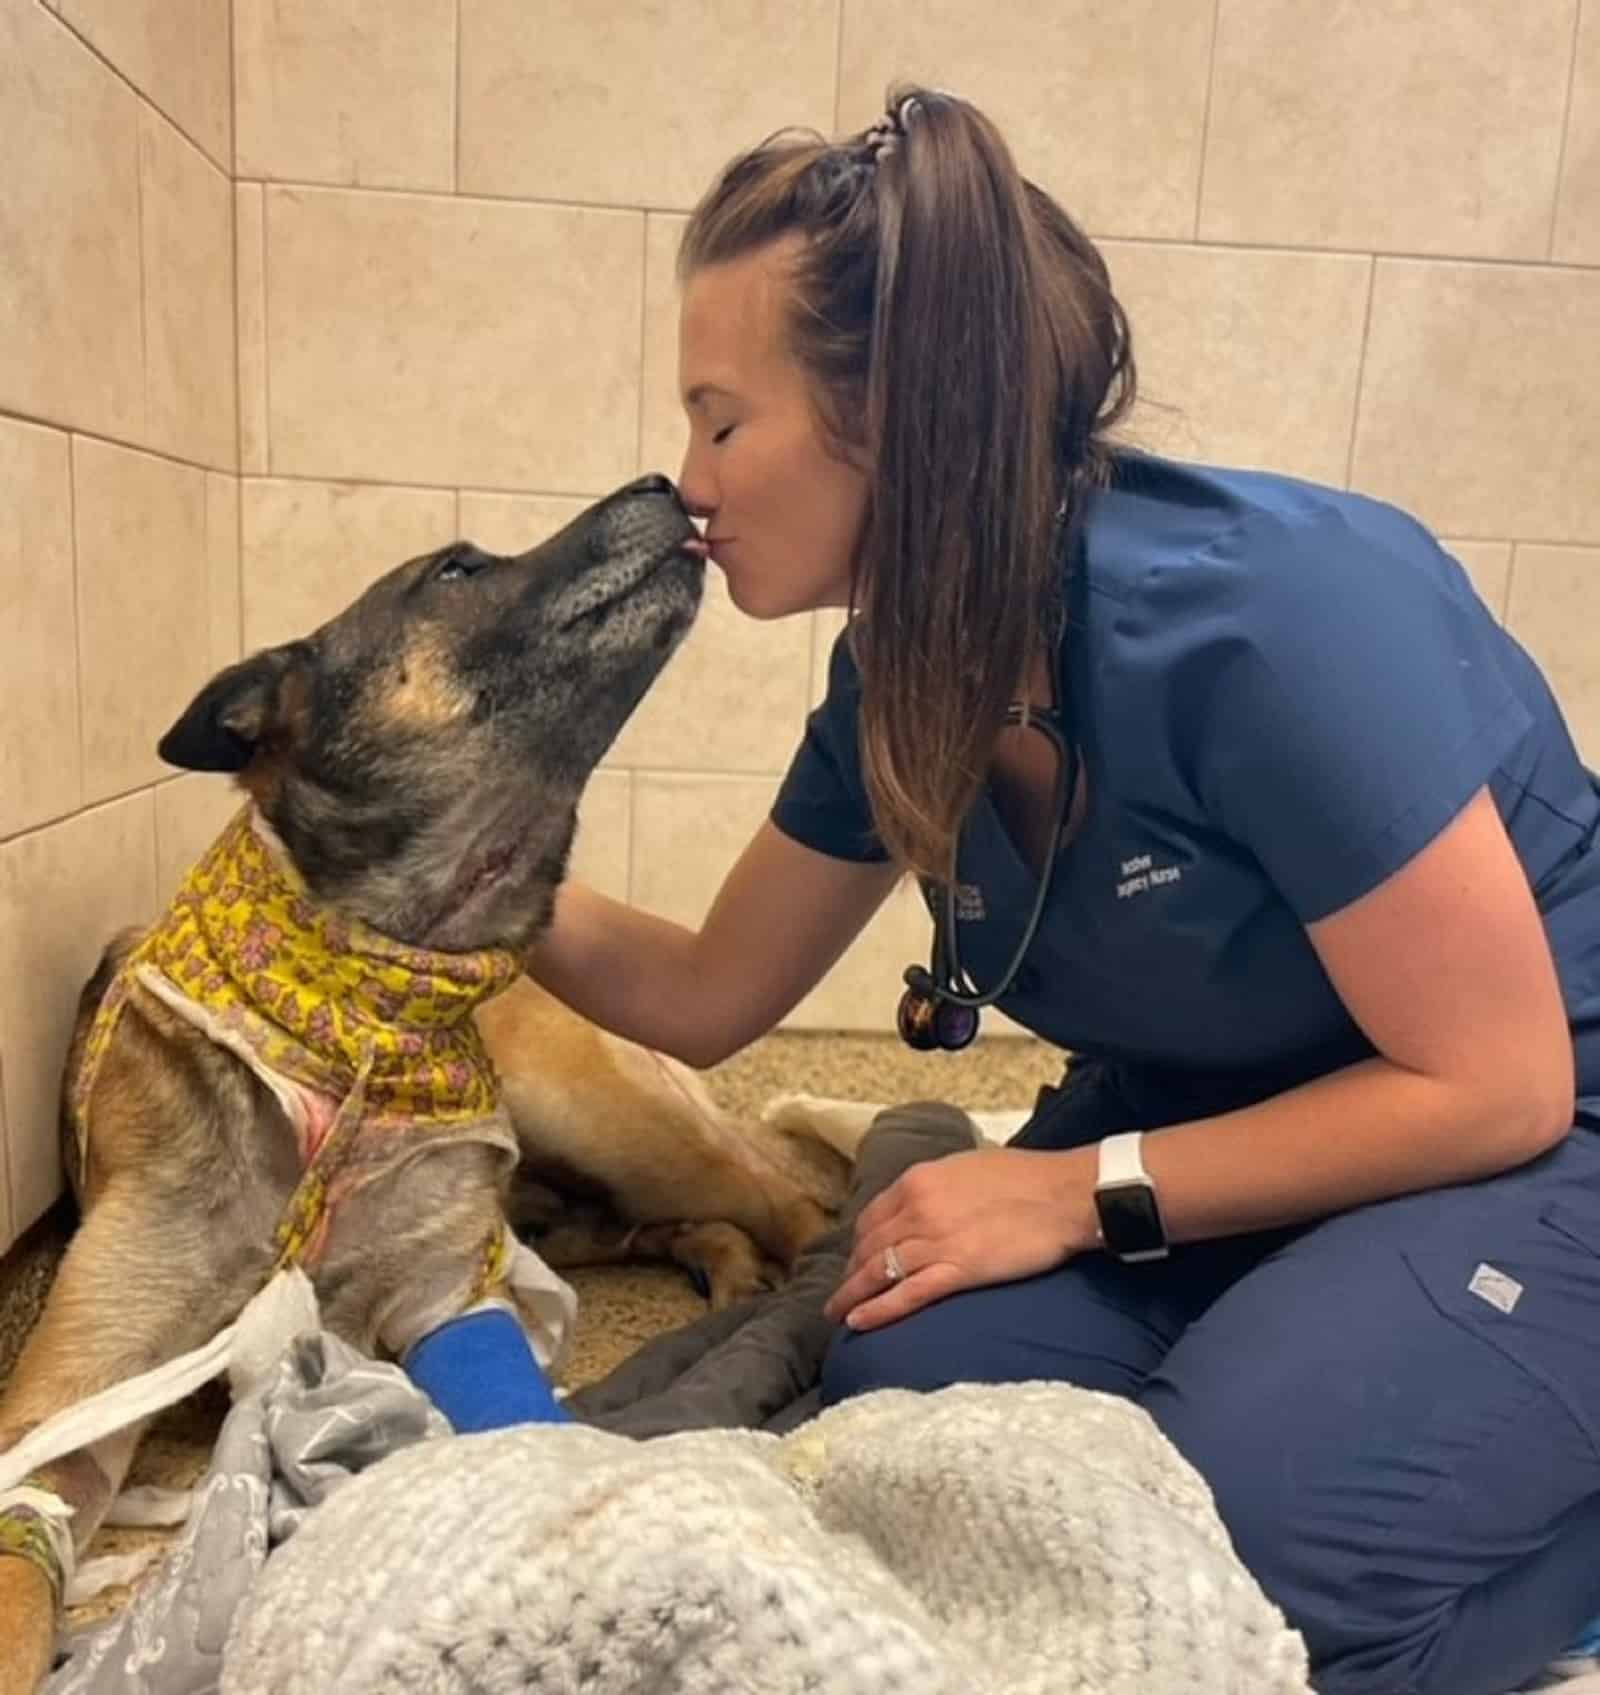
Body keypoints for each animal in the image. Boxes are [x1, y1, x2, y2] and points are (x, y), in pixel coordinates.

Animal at [0, 477, 850, 1695]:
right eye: (455, 572)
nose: (665, 485)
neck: (359, 1012)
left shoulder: (447, 1301)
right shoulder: (73, 1390)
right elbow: (19, 1564)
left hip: (608, 1123)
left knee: (798, 1208)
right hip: (583, 1198)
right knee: (690, 1226)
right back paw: (728, 1286)